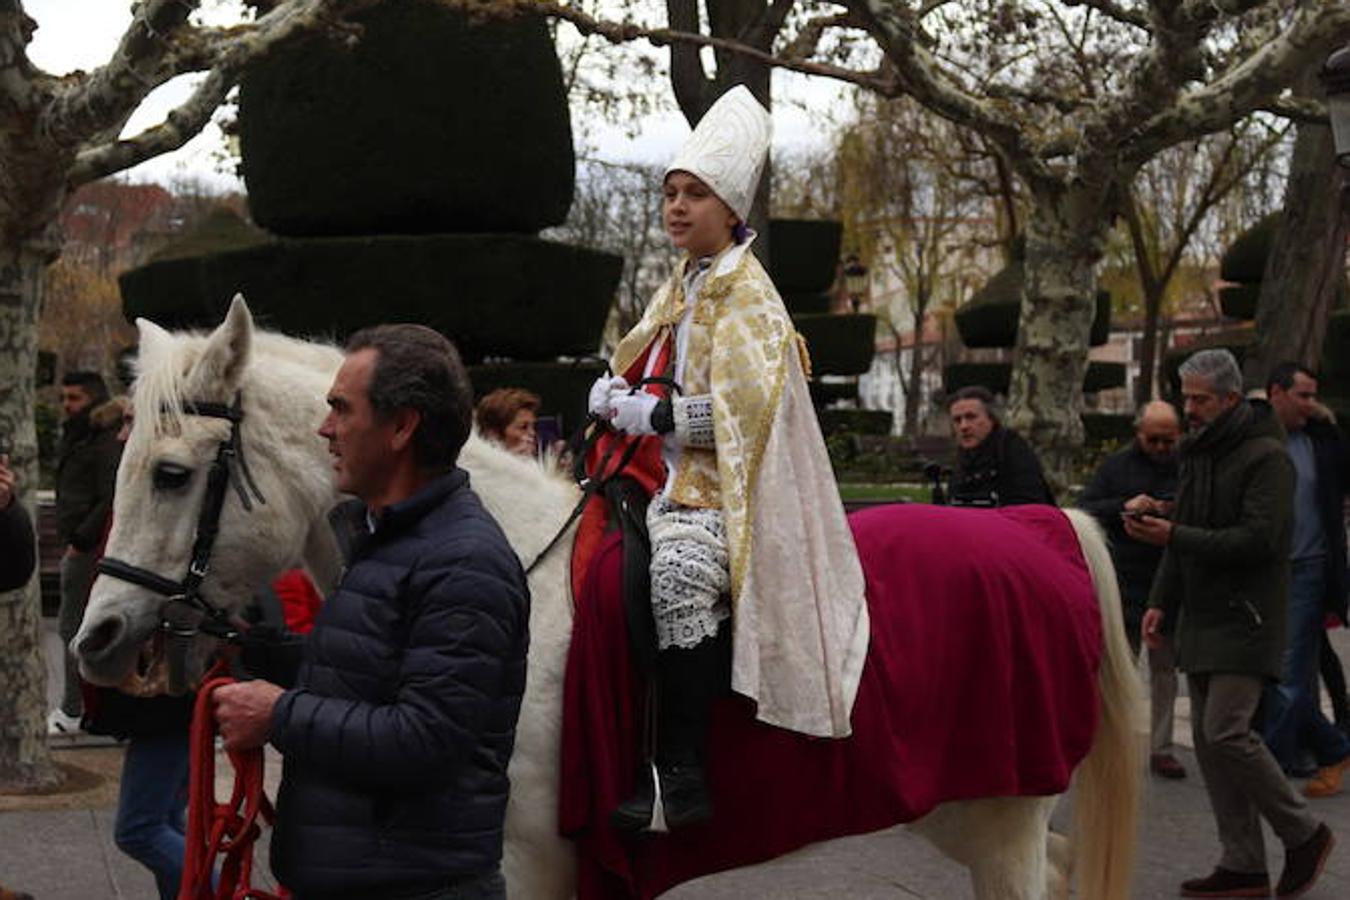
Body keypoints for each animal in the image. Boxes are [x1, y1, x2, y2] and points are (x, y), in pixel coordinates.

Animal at [76, 300, 1139, 900]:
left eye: (171, 473)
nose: (98, 636)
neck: (523, 581)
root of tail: (1043, 530)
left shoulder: (536, 866)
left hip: (998, 822)